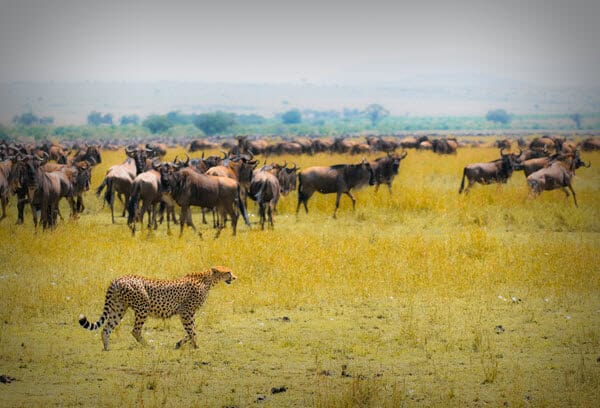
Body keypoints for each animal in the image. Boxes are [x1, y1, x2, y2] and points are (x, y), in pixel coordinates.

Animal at [79, 266, 237, 350]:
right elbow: (192, 330)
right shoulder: (186, 312)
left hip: (118, 308)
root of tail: (118, 279)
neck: (207, 280)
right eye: (228, 272)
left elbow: (191, 330)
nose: (235, 277)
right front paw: (196, 345)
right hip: (142, 307)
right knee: (135, 330)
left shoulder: (188, 313)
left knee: (106, 328)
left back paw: (107, 348)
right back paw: (148, 346)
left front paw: (180, 343)